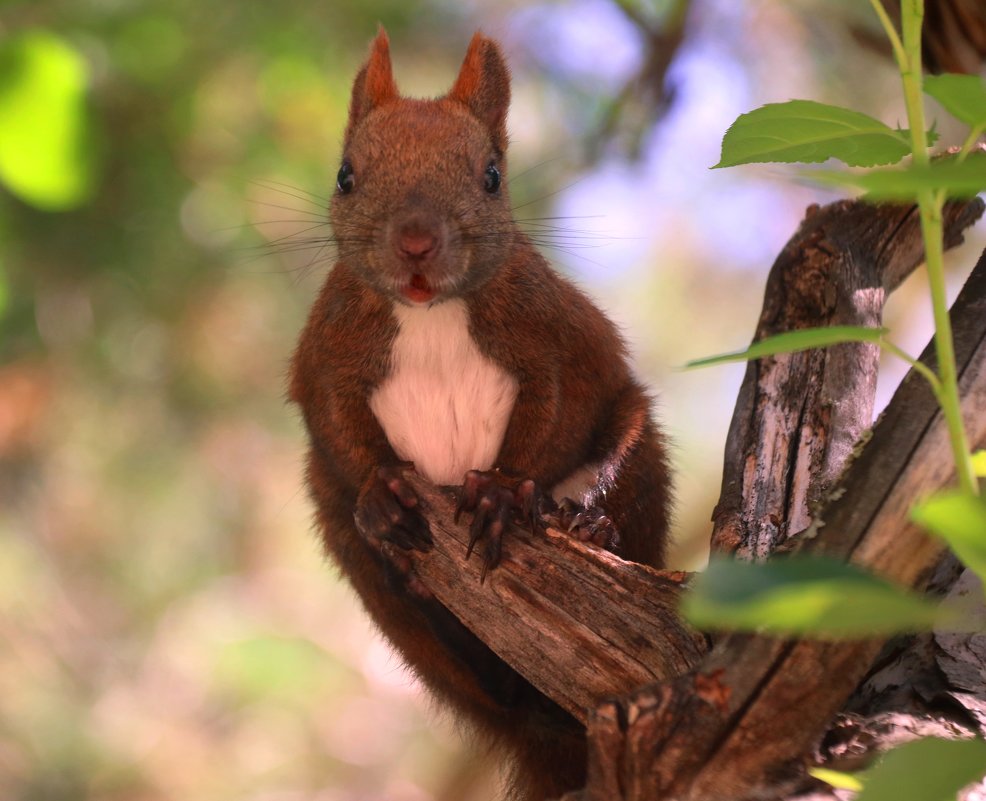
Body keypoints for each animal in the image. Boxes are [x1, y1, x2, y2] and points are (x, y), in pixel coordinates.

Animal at [286, 29, 668, 800]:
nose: (415, 240)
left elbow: (552, 415)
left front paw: (500, 493)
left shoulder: (555, 339)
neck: (430, 315)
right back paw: (399, 561)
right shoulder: (325, 356)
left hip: (639, 446)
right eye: (345, 176)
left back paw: (591, 521)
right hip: (343, 536)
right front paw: (382, 491)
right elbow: (336, 425)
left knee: (619, 475)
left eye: (491, 175)